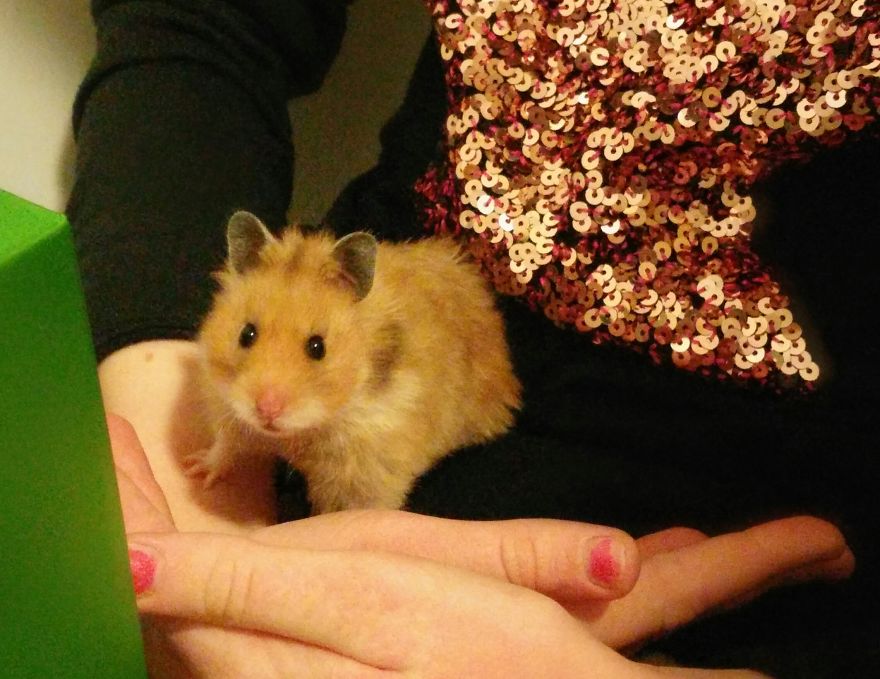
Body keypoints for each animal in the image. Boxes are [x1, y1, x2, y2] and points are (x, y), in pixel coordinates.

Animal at [189, 211, 522, 514]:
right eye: (246, 334)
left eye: (318, 347)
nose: (267, 410)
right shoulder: (226, 405)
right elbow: (225, 445)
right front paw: (196, 470)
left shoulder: (370, 470)